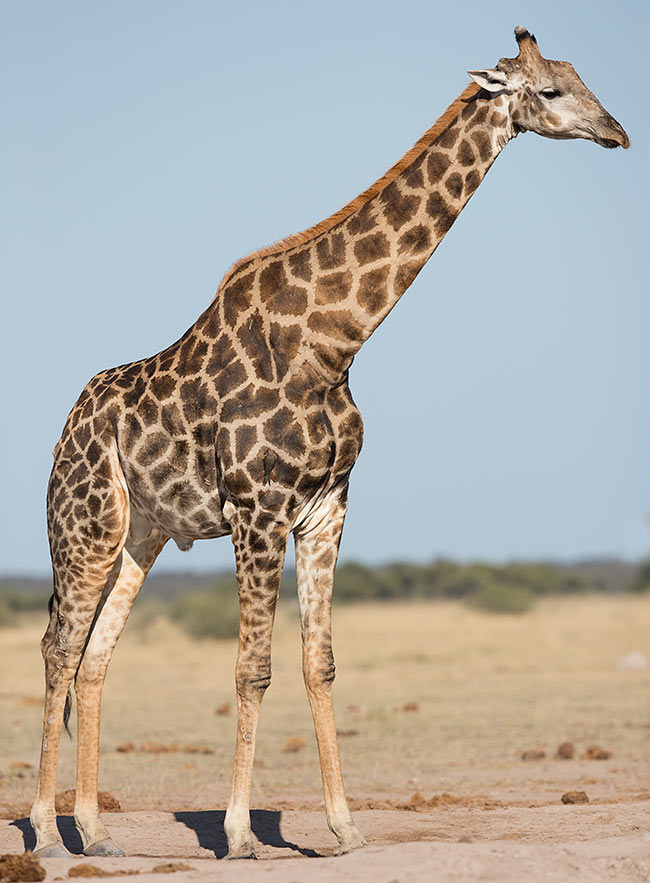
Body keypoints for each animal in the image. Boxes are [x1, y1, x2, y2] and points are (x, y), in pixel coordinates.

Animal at [31, 27, 628, 859]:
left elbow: (321, 663)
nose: (617, 132)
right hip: (84, 525)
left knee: (93, 658)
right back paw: (45, 832)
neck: (334, 340)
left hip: (140, 535)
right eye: (549, 91)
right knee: (58, 648)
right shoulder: (258, 509)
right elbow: (252, 668)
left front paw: (344, 828)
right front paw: (241, 833)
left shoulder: (326, 506)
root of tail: (66, 428)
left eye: (579, 78)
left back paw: (95, 829)